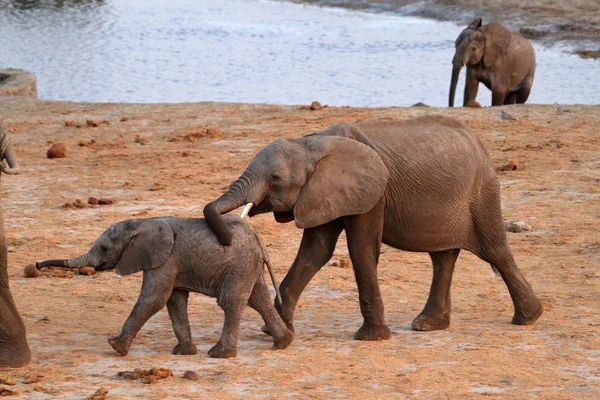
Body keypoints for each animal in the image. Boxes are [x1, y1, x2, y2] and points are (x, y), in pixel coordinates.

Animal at [35, 216, 292, 360]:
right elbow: (174, 301)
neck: (143, 222)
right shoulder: (171, 262)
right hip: (248, 265)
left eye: (105, 248)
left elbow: (154, 298)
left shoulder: (165, 259)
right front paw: (183, 352)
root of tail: (260, 241)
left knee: (231, 301)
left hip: (239, 265)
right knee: (259, 300)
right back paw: (283, 343)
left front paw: (115, 347)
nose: (37, 264)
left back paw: (220, 354)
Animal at [205, 115, 544, 340]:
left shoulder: (372, 194)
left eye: (275, 177)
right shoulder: (322, 192)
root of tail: (480, 143)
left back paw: (528, 318)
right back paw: (427, 325)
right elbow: (315, 252)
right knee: (442, 257)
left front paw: (371, 337)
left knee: (495, 251)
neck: (312, 143)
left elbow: (361, 251)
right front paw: (273, 329)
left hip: (481, 192)